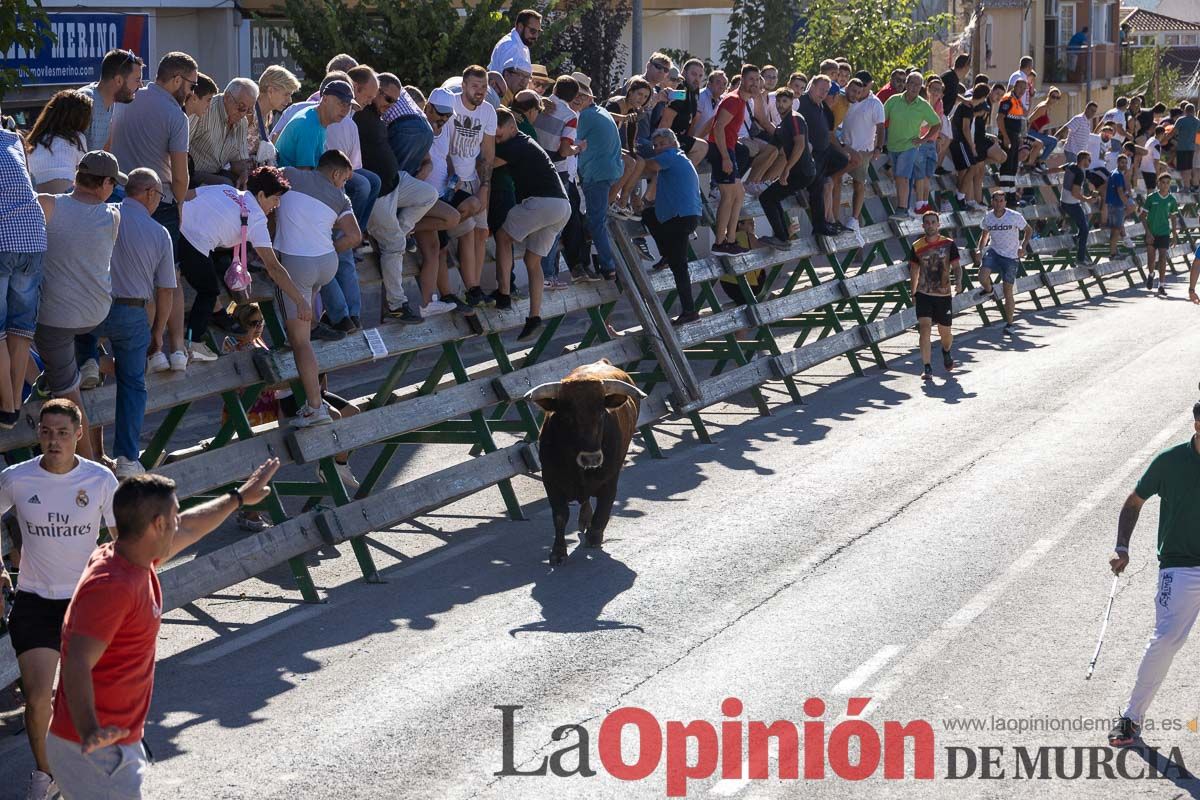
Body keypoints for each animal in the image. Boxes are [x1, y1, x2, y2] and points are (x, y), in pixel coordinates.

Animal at [520, 359, 643, 566]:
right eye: (567, 417)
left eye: (601, 414)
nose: (591, 458)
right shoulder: (550, 481)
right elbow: (560, 515)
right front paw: (558, 551)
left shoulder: (611, 479)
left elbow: (604, 507)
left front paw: (594, 536)